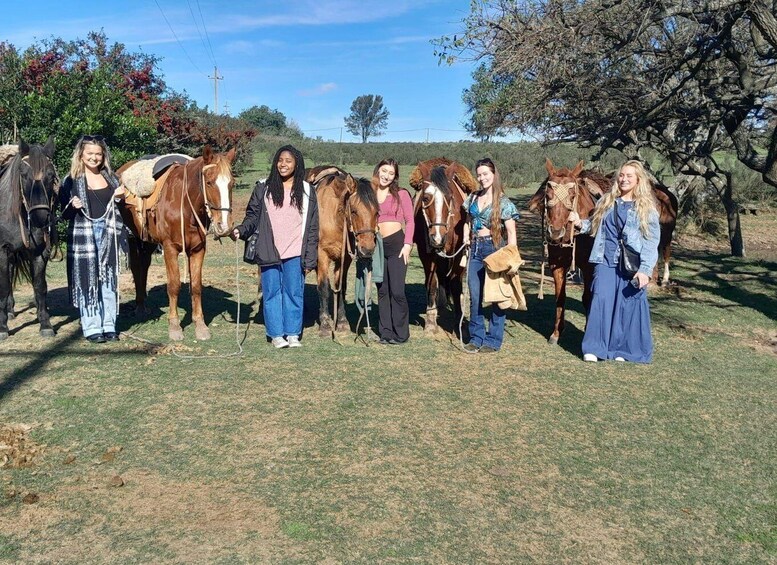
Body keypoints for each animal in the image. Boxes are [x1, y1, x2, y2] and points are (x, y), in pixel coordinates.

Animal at [116, 145, 235, 340]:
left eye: (232, 183)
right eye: (209, 182)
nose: (224, 226)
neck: (185, 205)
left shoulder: (198, 249)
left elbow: (196, 286)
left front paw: (200, 325)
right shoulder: (170, 248)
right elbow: (174, 285)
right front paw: (174, 326)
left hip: (148, 242)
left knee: (144, 266)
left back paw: (143, 305)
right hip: (134, 238)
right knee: (136, 268)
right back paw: (140, 307)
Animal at [306, 166, 378, 334]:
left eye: (377, 212)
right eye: (354, 211)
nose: (367, 249)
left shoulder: (345, 259)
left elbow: (341, 287)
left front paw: (342, 322)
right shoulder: (322, 255)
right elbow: (324, 287)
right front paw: (325, 324)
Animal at [410, 156, 476, 332]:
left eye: (450, 197)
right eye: (425, 198)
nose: (438, 237)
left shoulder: (459, 252)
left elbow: (456, 283)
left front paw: (459, 322)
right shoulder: (426, 253)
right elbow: (432, 283)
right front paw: (431, 321)